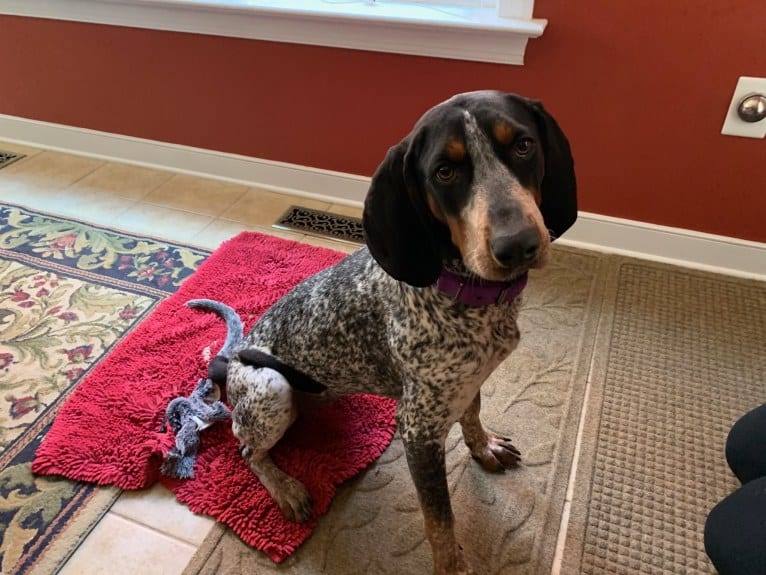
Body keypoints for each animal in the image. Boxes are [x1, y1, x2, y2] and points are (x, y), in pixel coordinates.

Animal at [190, 92, 576, 572]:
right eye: (444, 172)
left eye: (523, 146)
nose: (518, 245)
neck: (464, 293)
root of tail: (228, 362)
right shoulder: (418, 429)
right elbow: (439, 519)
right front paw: (451, 566)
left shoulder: (467, 382)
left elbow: (473, 413)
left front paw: (482, 446)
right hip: (272, 388)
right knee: (247, 450)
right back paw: (287, 488)